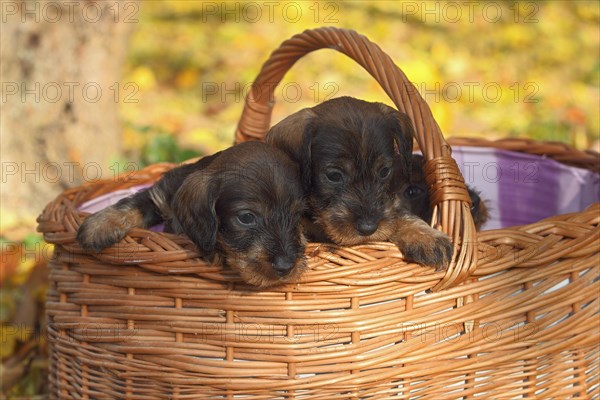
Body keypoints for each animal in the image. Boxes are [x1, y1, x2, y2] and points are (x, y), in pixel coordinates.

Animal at [77, 141, 308, 288]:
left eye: (297, 215)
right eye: (246, 217)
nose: (286, 266)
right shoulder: (161, 194)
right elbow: (133, 203)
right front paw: (98, 226)